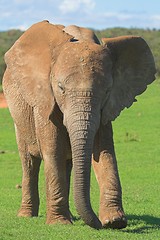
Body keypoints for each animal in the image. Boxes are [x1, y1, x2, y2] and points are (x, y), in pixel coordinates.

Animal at [2, 20, 155, 229]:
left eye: (107, 90)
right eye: (60, 88)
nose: (98, 223)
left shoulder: (105, 107)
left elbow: (104, 150)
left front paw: (115, 221)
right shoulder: (45, 100)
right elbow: (53, 150)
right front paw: (59, 224)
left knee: (66, 163)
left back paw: (70, 216)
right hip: (19, 116)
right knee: (29, 160)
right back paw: (27, 216)